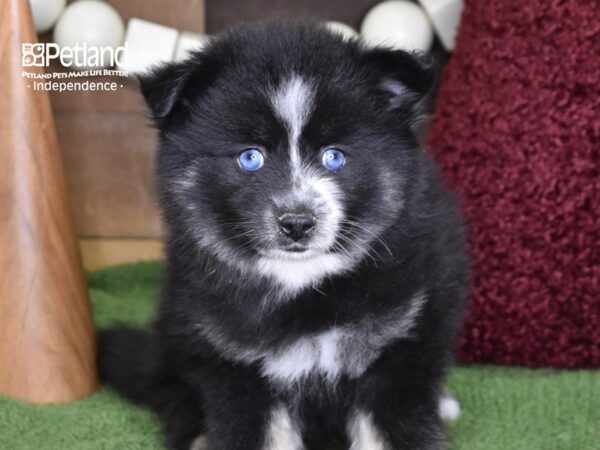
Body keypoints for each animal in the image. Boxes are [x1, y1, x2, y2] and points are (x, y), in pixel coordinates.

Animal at [99, 19, 468, 450]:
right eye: (250, 157)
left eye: (334, 156)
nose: (297, 223)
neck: (302, 285)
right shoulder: (236, 366)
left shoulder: (395, 353)